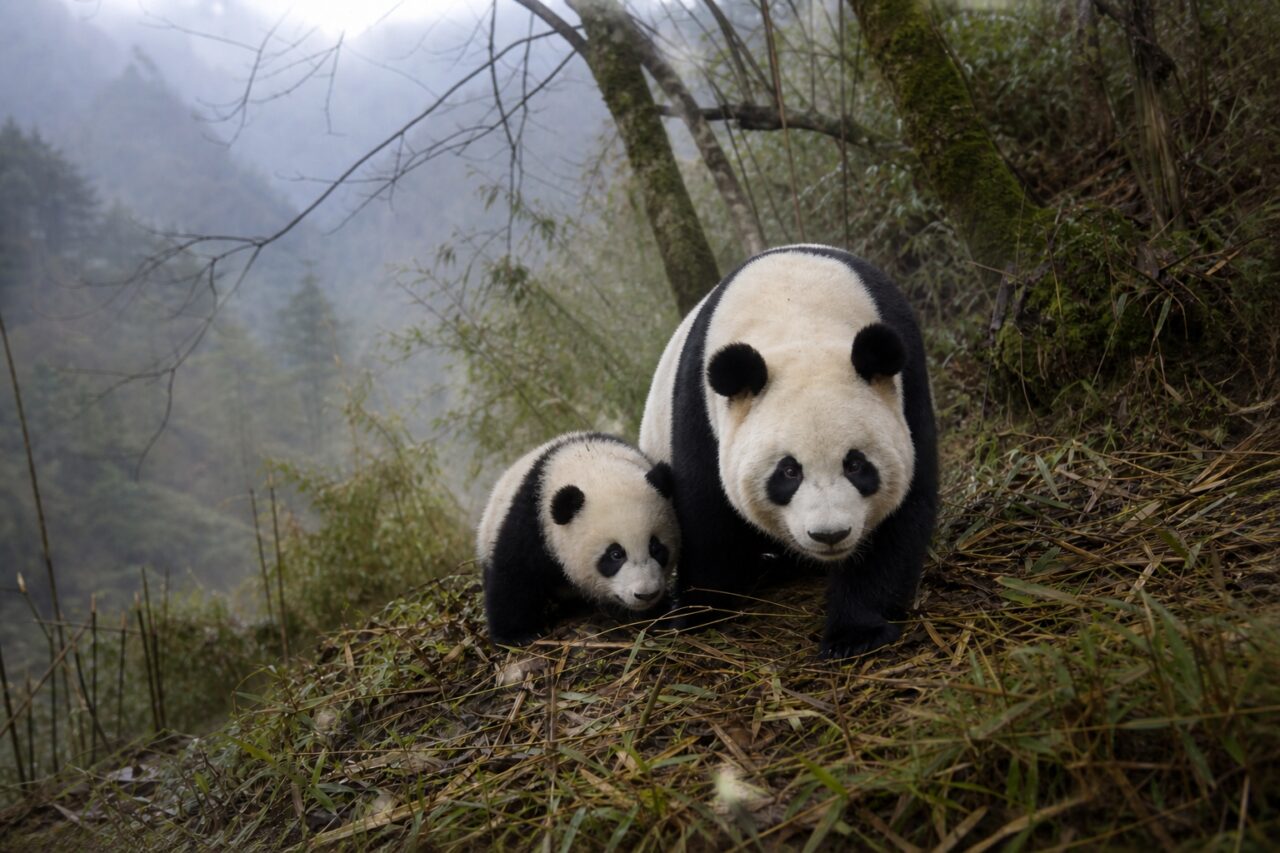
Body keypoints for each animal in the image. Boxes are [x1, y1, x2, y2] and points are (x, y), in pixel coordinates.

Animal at [477, 432, 681, 646]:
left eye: (656, 547)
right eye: (615, 554)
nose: (646, 594)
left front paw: (662, 610)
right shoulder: (533, 521)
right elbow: (515, 575)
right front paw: (517, 635)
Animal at [638, 245, 937, 658]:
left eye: (856, 465)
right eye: (788, 472)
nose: (830, 534)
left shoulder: (906, 381)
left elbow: (903, 509)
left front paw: (854, 633)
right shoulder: (700, 407)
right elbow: (706, 512)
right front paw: (699, 613)